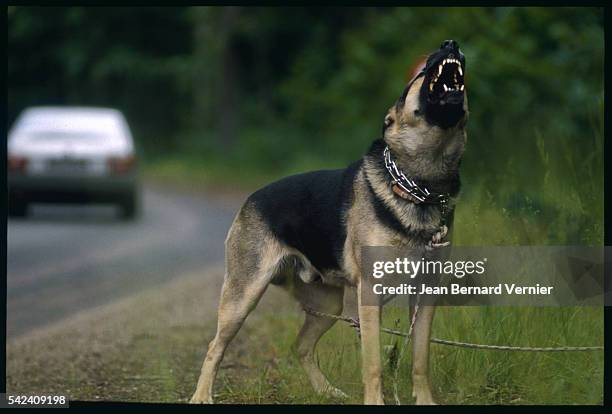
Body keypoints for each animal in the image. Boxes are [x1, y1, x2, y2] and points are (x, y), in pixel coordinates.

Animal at [191, 39, 468, 404]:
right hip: (243, 298)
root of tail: (249, 198)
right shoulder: (370, 296)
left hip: (330, 303)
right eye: (418, 75)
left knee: (300, 347)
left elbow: (420, 361)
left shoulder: (425, 296)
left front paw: (424, 401)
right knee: (214, 346)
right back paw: (201, 395)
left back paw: (326, 391)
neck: (419, 186)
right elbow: (373, 364)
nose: (450, 43)